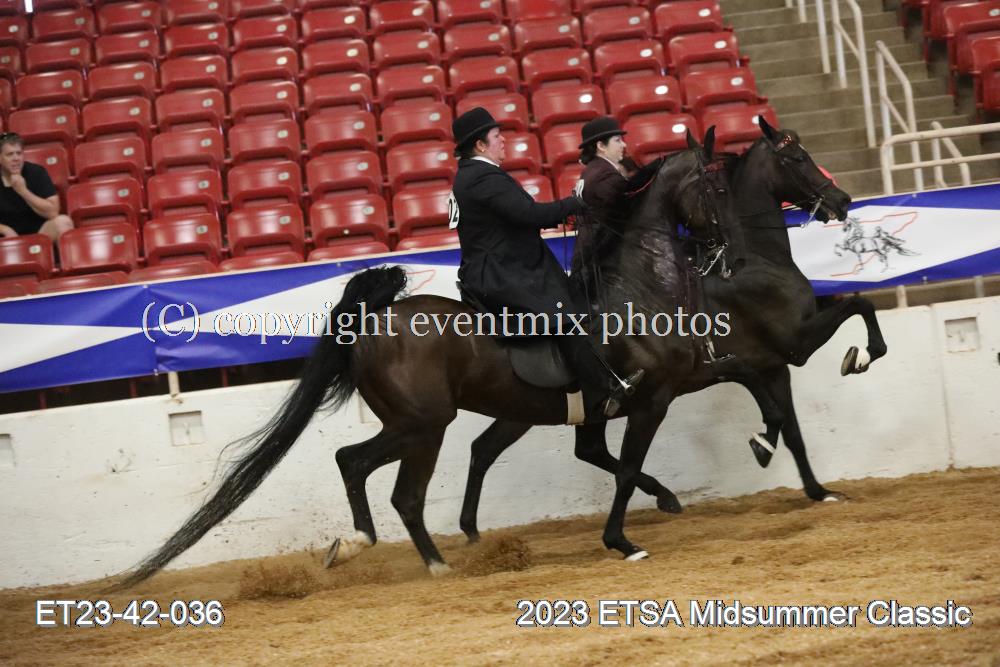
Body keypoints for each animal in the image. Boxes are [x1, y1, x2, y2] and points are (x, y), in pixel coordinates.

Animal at [115, 131, 751, 587]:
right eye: (718, 190)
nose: (731, 253)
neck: (634, 289)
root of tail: (371, 322)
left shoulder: (611, 408)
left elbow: (615, 461)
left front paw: (658, 506)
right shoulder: (650, 398)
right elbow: (621, 467)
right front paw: (624, 541)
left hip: (418, 424)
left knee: (371, 473)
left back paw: (373, 547)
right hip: (425, 423)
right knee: (387, 482)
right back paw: (425, 560)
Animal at [458, 117, 888, 544]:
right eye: (798, 158)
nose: (842, 200)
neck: (755, 261)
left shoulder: (772, 366)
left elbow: (793, 430)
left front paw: (816, 489)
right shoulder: (795, 343)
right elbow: (860, 305)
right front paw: (858, 358)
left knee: (508, 449)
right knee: (507, 450)